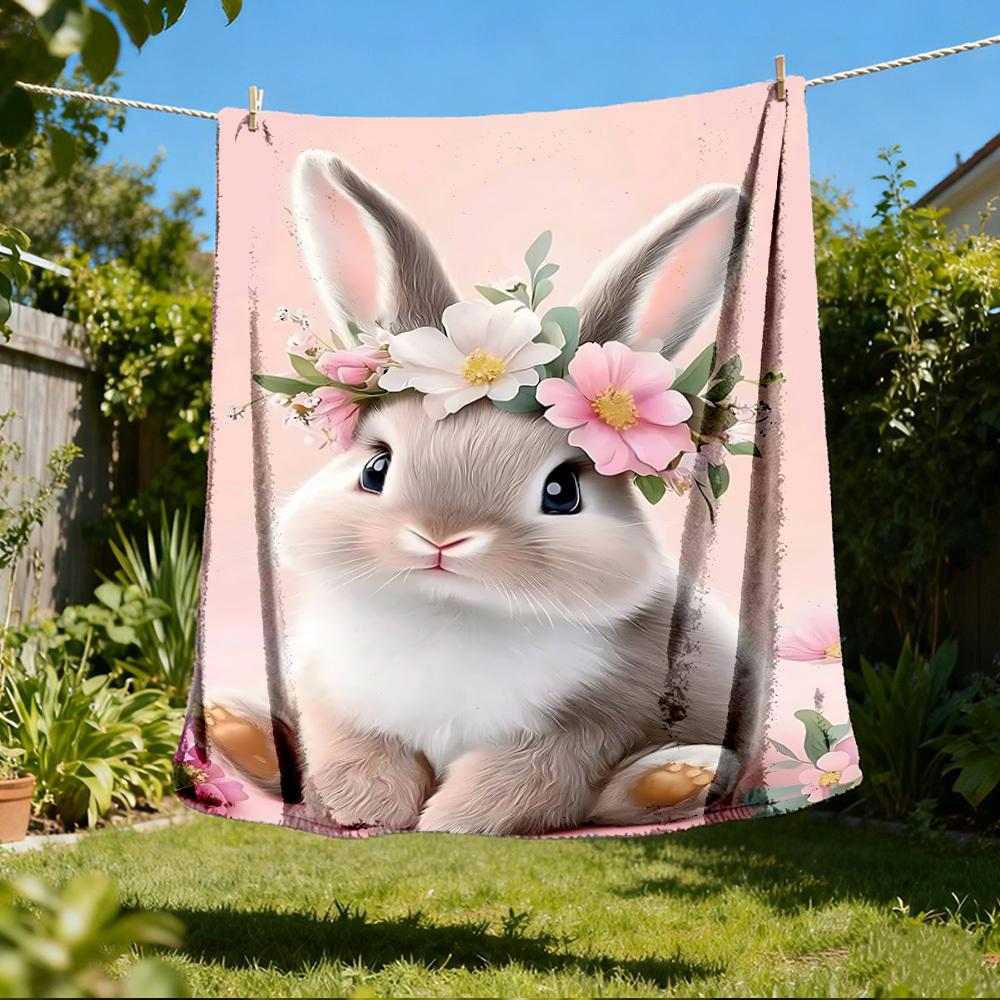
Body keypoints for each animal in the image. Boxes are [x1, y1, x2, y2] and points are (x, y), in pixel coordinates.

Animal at [206, 149, 750, 836]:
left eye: (563, 491)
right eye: (375, 469)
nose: (440, 538)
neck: (449, 612)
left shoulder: (590, 721)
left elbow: (522, 781)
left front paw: (448, 821)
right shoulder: (336, 697)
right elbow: (354, 752)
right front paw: (370, 810)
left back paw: (679, 775)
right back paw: (234, 726)